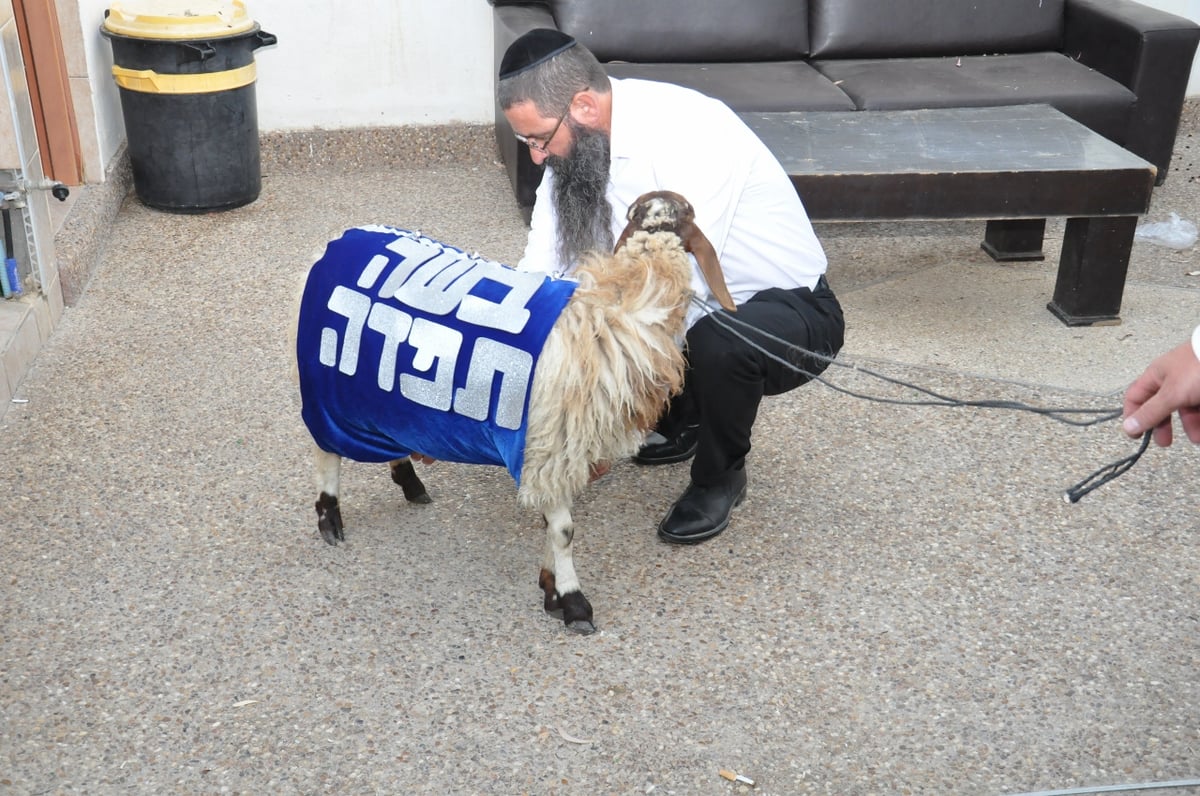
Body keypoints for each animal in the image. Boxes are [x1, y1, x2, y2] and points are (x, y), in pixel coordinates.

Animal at [297, 192, 729, 633]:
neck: (613, 314)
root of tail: (332, 244)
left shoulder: (553, 458)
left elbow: (552, 527)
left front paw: (550, 589)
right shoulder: (549, 450)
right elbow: (564, 530)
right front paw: (574, 603)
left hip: (380, 393)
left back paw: (409, 480)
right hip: (329, 385)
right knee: (326, 451)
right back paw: (329, 517)